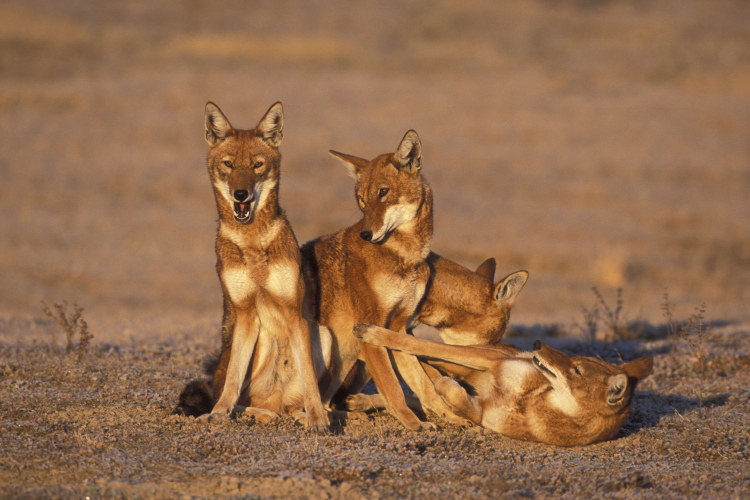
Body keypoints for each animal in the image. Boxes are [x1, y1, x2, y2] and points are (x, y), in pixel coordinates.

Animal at [183, 102, 328, 430]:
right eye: (229, 165)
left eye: (257, 165)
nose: (241, 194)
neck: (251, 244)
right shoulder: (246, 313)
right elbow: (232, 383)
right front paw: (217, 415)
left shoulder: (294, 312)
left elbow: (311, 381)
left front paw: (317, 421)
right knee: (244, 397)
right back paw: (256, 414)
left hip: (322, 333)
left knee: (292, 405)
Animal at [356, 322, 656, 448]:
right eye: (577, 359)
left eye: (576, 370)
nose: (537, 344)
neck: (527, 399)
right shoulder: (492, 361)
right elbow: (419, 345)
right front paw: (374, 332)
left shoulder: (482, 413)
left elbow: (453, 394)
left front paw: (444, 392)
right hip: (485, 354)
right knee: (425, 354)